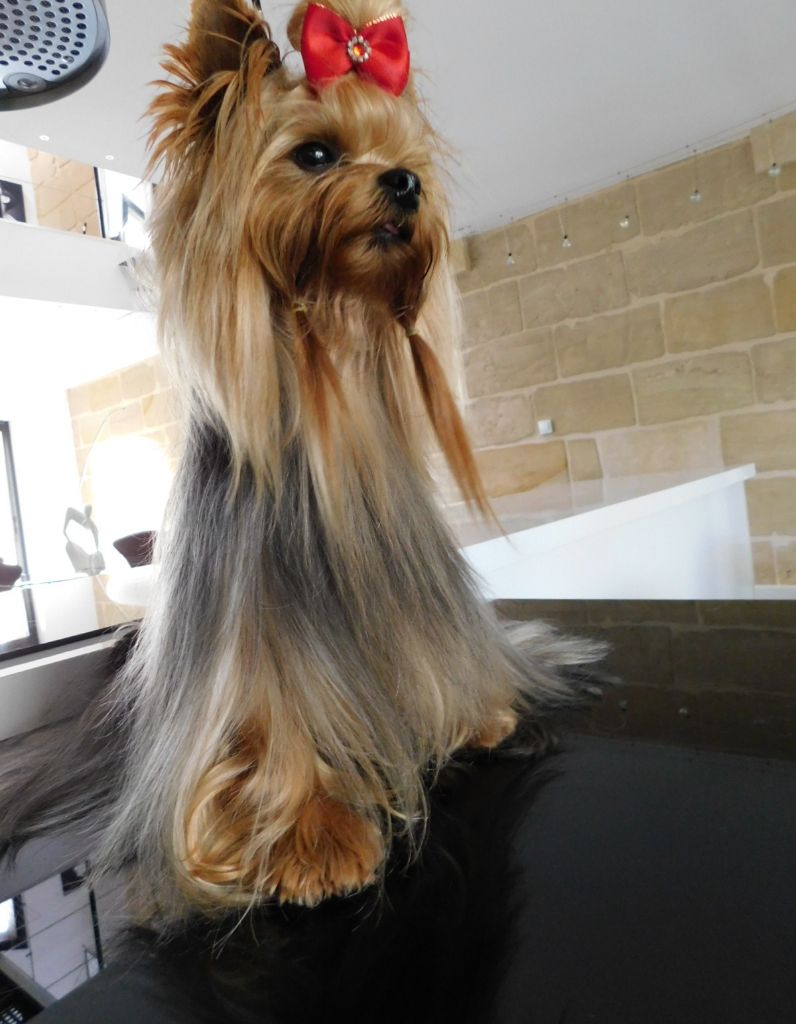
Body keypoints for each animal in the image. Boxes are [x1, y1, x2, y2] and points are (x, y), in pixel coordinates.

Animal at [0, 0, 599, 923]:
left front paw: (472, 712)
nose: (406, 185)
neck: (327, 374)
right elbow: (265, 727)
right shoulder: (246, 647)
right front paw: (315, 834)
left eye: (407, 156)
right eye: (314, 154)